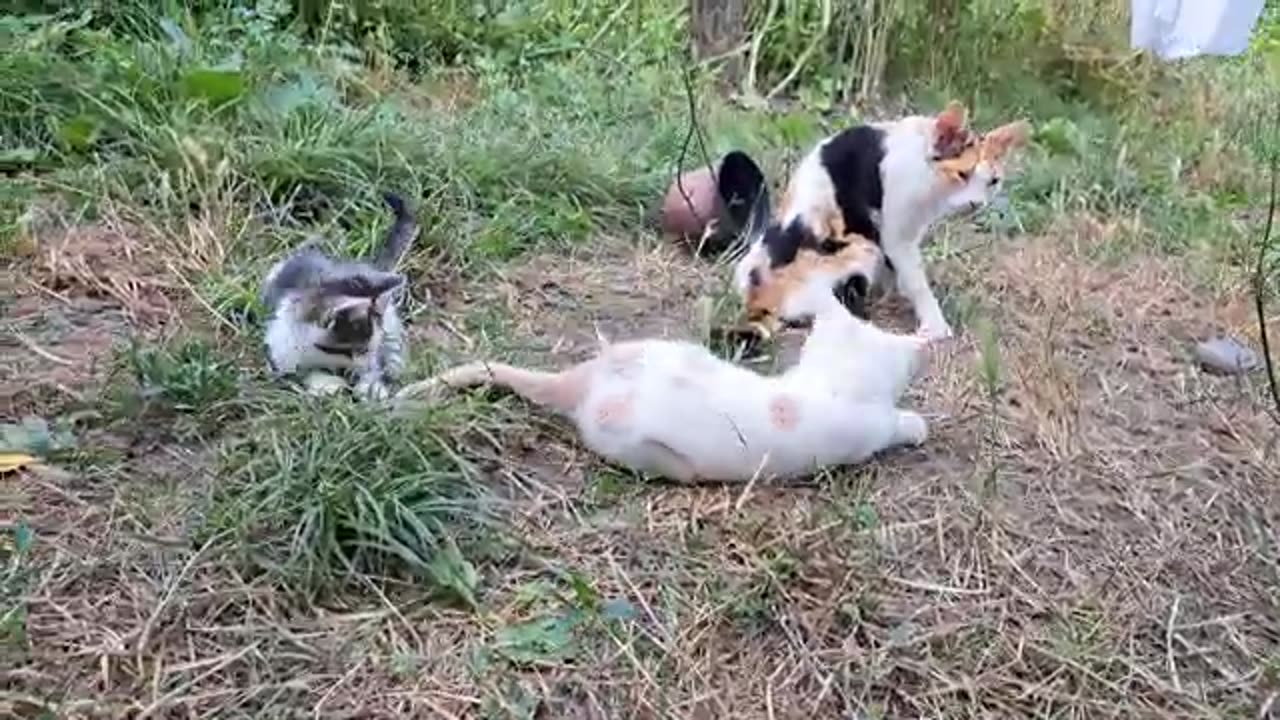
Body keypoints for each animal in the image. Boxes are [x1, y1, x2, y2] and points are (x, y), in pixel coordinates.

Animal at [259, 190, 419, 399]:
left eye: (368, 350)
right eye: (356, 351)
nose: (367, 365)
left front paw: (371, 384)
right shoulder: (279, 354)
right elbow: (298, 374)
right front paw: (325, 383)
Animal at [732, 101, 1029, 338]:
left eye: (992, 182)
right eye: (962, 175)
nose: (976, 204)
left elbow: (897, 270)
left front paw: (892, 291)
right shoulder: (896, 231)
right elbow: (914, 278)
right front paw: (935, 324)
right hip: (853, 246)